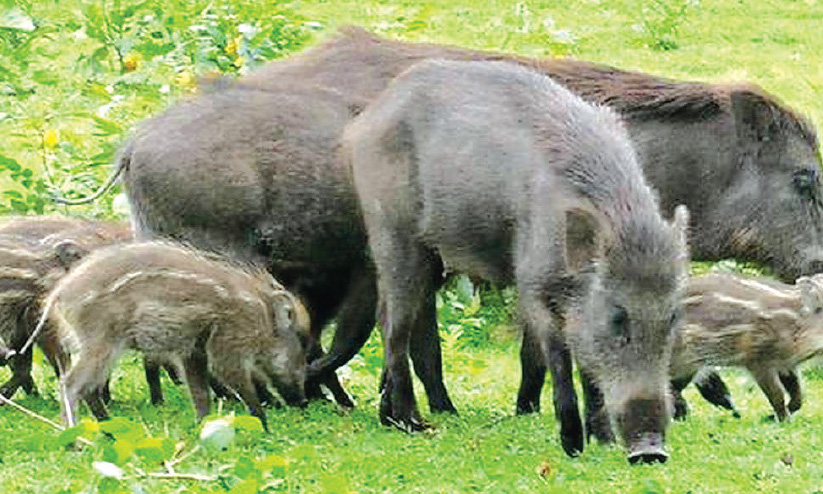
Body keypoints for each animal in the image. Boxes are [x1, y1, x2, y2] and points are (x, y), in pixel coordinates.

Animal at [36, 241, 309, 430]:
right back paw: (75, 440)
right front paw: (264, 426)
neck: (261, 312)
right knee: (72, 383)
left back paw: (109, 430)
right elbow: (239, 383)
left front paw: (202, 427)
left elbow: (200, 393)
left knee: (90, 388)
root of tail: (59, 295)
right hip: (101, 342)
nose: (303, 402)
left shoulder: (193, 351)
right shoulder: (228, 344)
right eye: (302, 346)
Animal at [343, 59, 689, 462]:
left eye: (672, 317)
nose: (651, 451)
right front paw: (572, 446)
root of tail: (365, 121)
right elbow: (558, 357)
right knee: (392, 326)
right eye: (617, 318)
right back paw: (414, 423)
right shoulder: (531, 281)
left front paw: (602, 442)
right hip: (393, 233)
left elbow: (588, 368)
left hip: (431, 256)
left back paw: (423, 414)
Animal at [670, 273, 823, 421]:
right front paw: (781, 420)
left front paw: (771, 417)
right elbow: (776, 394)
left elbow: (798, 395)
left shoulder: (786, 363)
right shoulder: (758, 361)